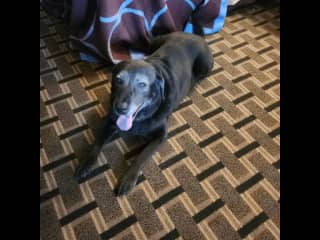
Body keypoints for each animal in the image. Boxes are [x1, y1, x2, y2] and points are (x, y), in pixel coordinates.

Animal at [74, 31, 212, 196]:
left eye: (142, 84)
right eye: (118, 80)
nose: (120, 108)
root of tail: (193, 34)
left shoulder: (161, 135)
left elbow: (142, 156)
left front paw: (128, 179)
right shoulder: (110, 121)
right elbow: (97, 142)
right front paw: (86, 162)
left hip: (204, 66)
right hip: (155, 41)